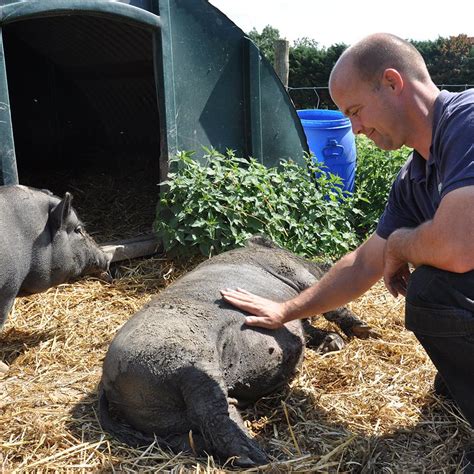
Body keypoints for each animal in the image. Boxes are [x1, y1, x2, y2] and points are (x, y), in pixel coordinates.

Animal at [99, 235, 374, 464]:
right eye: (305, 257)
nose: (327, 260)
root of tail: (106, 380)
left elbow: (308, 329)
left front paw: (335, 342)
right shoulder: (296, 273)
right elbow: (330, 305)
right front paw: (368, 332)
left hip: (164, 419)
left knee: (200, 431)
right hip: (188, 364)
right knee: (213, 413)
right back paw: (260, 456)